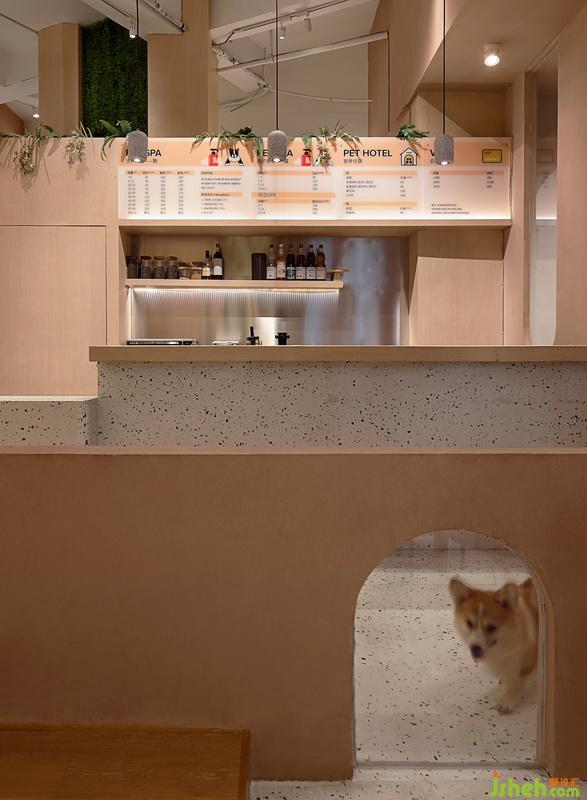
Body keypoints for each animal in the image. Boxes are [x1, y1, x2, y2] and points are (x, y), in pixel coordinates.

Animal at [449, 576, 539, 713]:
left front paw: (507, 701)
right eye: (469, 623)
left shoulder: (524, 664)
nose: (474, 647)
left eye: (491, 627)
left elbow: (515, 685)